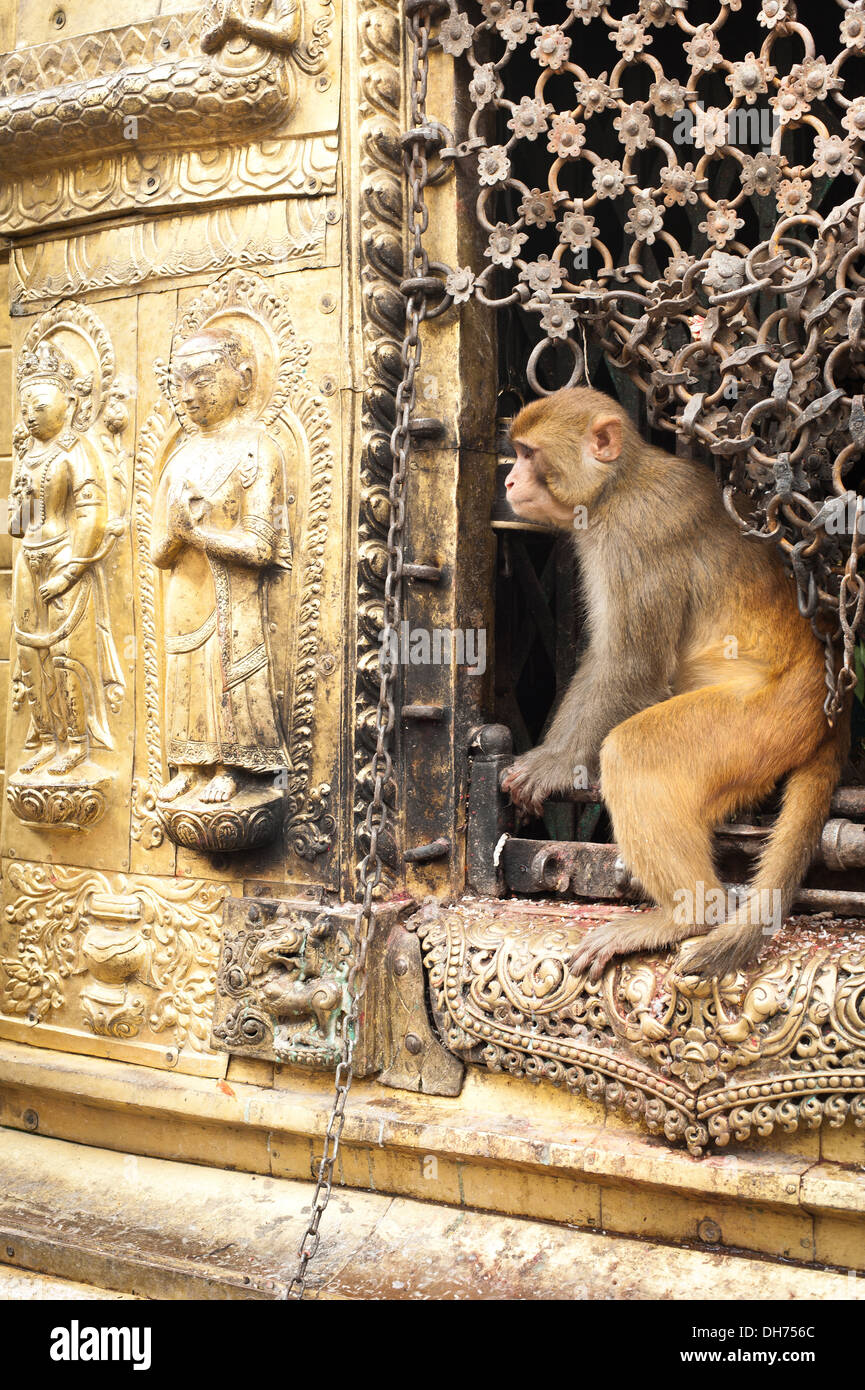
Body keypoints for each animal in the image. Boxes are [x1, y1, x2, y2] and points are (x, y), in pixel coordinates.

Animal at [497, 386, 851, 984]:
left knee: (635, 750)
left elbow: (632, 664)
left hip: (764, 720)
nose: (508, 481)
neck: (616, 486)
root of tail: (833, 710)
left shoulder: (635, 533)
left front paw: (553, 764)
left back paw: (687, 916)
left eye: (528, 454)